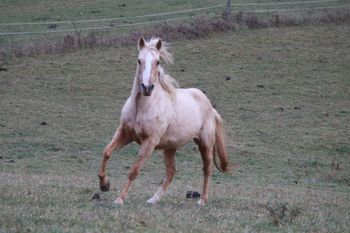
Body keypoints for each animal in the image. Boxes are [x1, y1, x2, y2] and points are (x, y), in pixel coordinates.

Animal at [97, 36, 231, 206]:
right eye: (139, 60)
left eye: (157, 61)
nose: (147, 87)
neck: (141, 107)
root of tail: (210, 107)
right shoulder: (124, 133)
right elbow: (107, 152)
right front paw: (104, 185)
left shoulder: (149, 141)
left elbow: (134, 171)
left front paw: (119, 199)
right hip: (170, 148)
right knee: (171, 172)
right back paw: (153, 199)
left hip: (205, 144)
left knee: (207, 169)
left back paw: (202, 200)